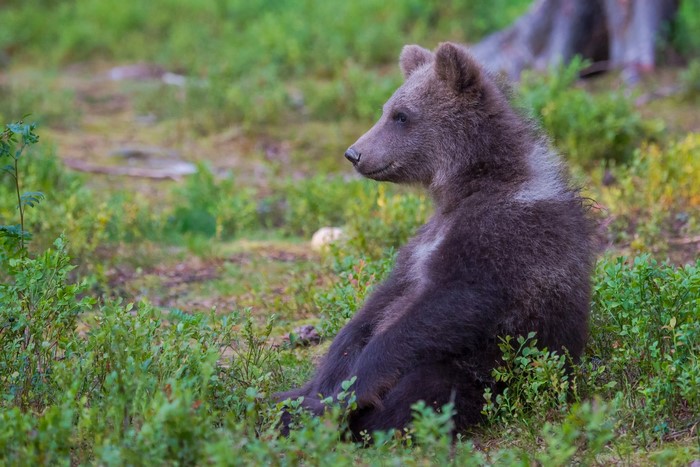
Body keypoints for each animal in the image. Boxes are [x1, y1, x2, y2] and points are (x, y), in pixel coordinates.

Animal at [275, 42, 593, 438]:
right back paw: (283, 403)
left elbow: (448, 304)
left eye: (401, 115)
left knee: (424, 390)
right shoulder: (421, 244)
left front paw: (348, 394)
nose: (354, 153)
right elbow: (376, 305)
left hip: (489, 371)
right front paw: (329, 381)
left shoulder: (504, 237)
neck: (470, 185)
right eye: (386, 109)